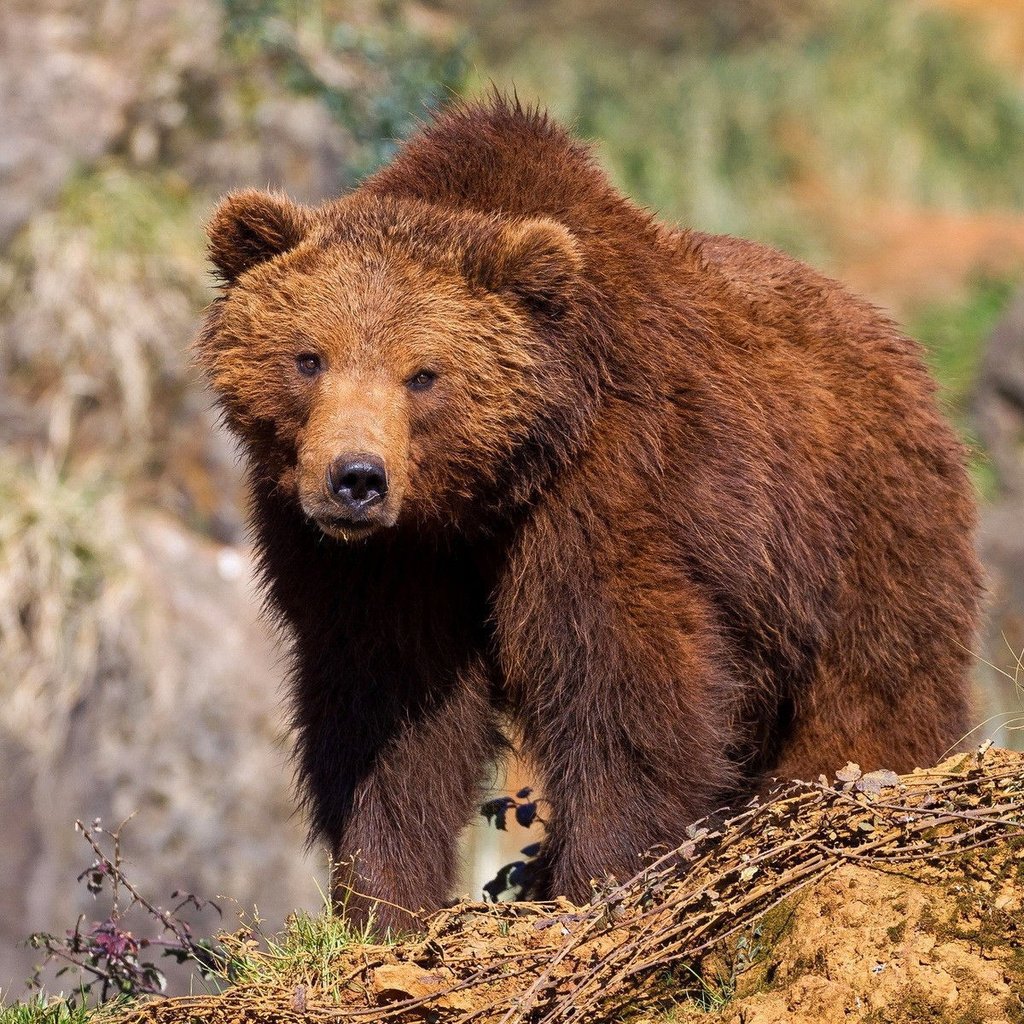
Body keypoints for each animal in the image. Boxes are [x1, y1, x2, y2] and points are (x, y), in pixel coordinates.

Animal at [193, 99, 983, 933]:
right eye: (309, 358)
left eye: (424, 375)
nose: (356, 481)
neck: (479, 498)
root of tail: (898, 343)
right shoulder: (376, 563)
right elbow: (388, 710)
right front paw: (384, 900)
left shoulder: (610, 486)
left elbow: (621, 682)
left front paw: (595, 877)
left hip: (860, 526)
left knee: (875, 678)